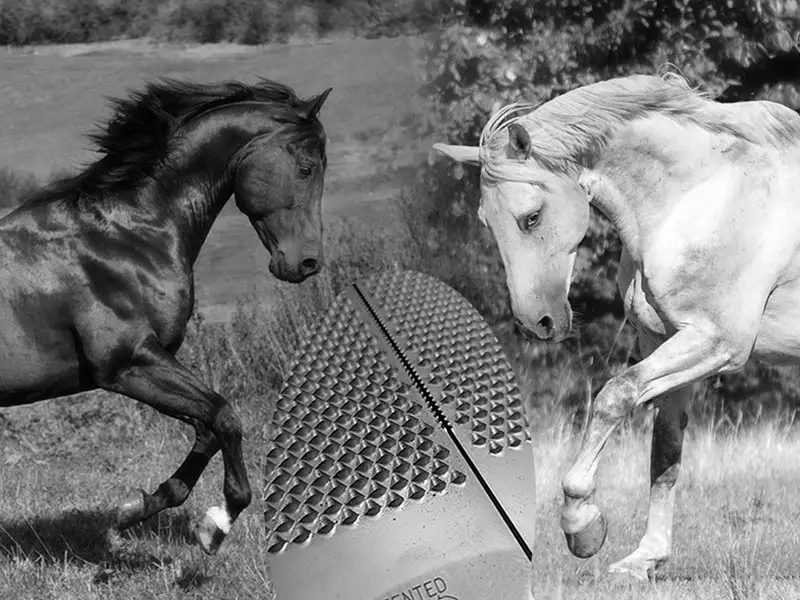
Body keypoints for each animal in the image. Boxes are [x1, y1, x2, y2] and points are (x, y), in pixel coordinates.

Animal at [0, 77, 332, 556]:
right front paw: (218, 523)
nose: (307, 263)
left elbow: (208, 429)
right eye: (306, 168)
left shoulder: (153, 363)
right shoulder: (129, 364)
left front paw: (130, 515)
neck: (129, 235)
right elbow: (225, 416)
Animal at [434, 72, 800, 580]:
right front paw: (644, 559)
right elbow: (665, 453)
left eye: (531, 217)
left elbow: (614, 396)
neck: (701, 200)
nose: (535, 324)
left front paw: (581, 525)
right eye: (488, 223)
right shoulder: (666, 341)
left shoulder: (717, 343)